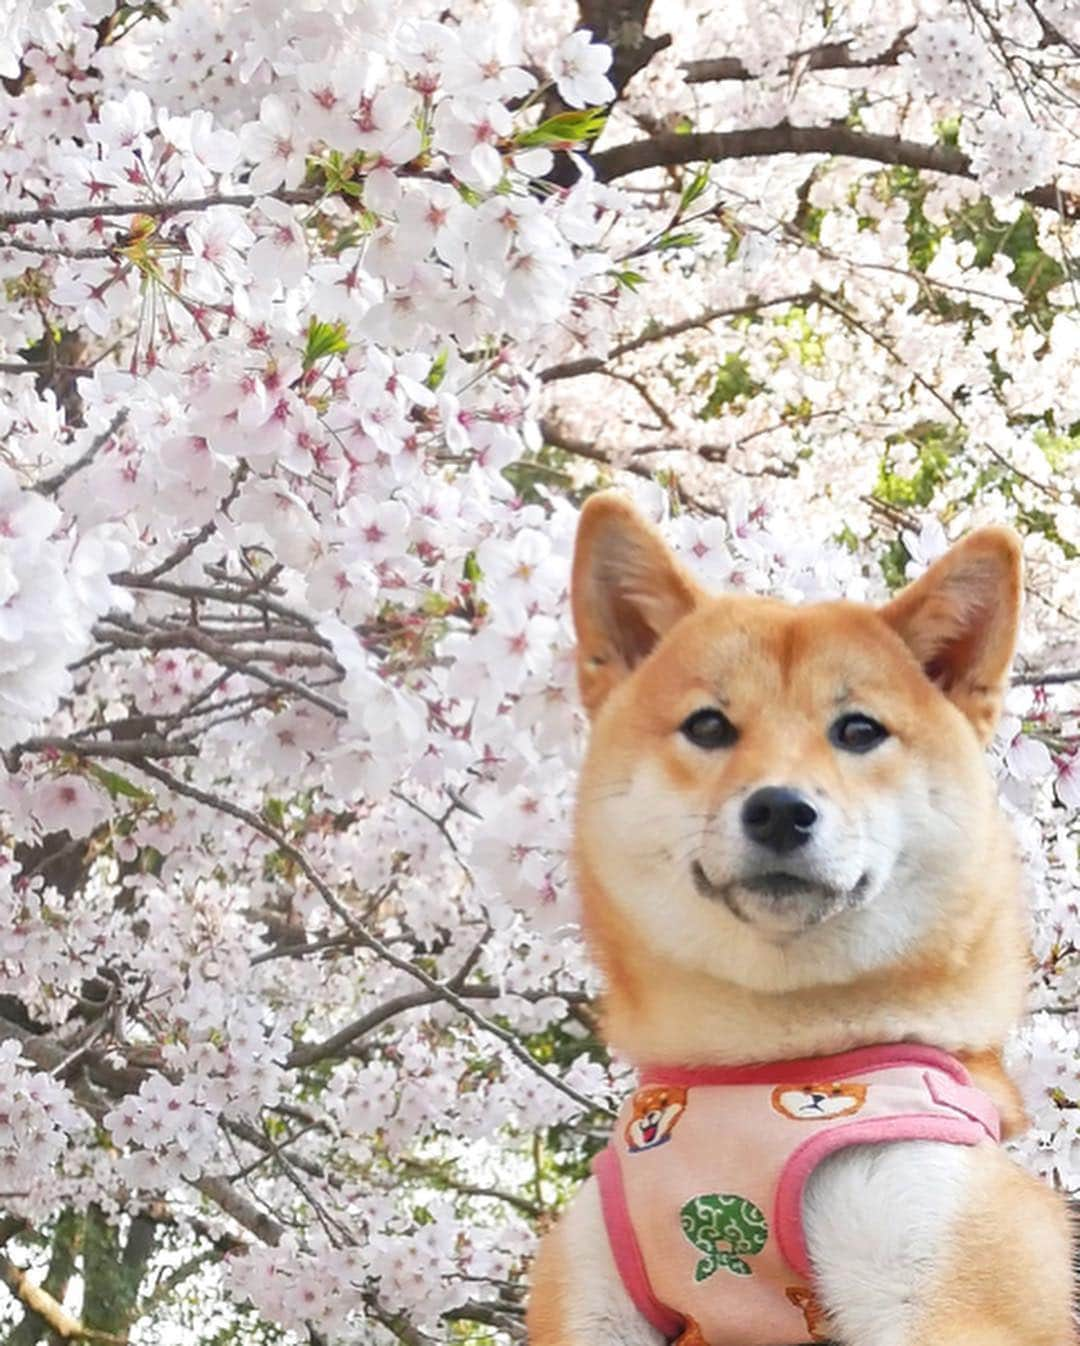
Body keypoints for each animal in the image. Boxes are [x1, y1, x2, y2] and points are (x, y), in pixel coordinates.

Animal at [525, 495, 1066, 1346]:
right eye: (708, 726)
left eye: (859, 731)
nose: (781, 808)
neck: (762, 1061)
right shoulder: (590, 1297)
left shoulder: (948, 1273)